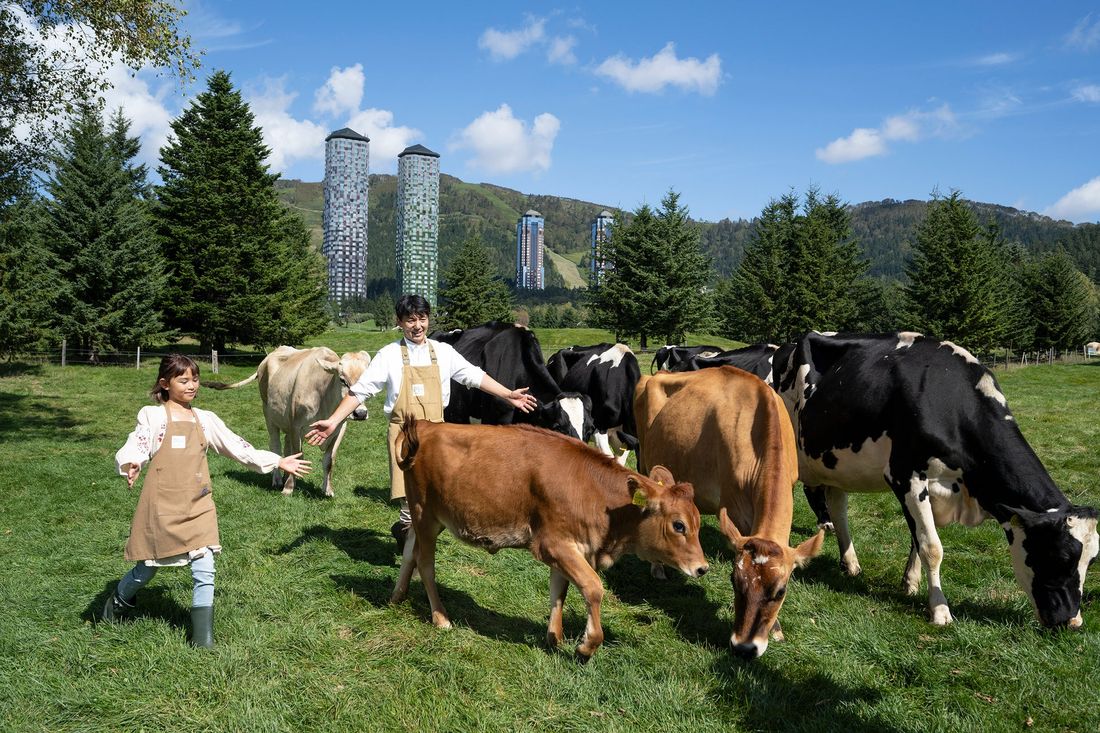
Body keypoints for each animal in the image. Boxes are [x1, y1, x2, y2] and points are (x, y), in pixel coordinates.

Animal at [207, 343, 371, 493]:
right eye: (343, 380)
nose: (360, 413)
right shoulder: (296, 426)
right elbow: (297, 455)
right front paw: (289, 488)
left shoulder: (339, 428)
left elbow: (329, 460)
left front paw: (328, 490)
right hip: (269, 415)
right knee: (276, 446)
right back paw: (278, 480)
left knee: (286, 447)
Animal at [391, 413, 708, 660]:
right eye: (679, 525)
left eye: (697, 523)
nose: (702, 568)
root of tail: (427, 425)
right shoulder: (551, 544)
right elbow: (593, 587)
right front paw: (586, 646)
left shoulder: (569, 546)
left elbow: (560, 590)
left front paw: (554, 637)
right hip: (425, 513)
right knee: (425, 563)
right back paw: (440, 617)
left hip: (427, 516)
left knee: (409, 551)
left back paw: (397, 596)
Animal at [633, 365, 822, 655]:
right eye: (734, 580)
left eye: (781, 591)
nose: (744, 648)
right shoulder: (736, 508)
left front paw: (776, 629)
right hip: (644, 459)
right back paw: (657, 568)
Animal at [778, 334, 1095, 625]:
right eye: (1061, 555)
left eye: (1092, 560)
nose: (1072, 622)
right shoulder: (906, 475)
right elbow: (932, 547)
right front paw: (940, 609)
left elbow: (917, 539)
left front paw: (910, 583)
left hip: (834, 465)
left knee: (838, 507)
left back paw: (851, 564)